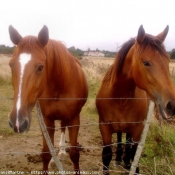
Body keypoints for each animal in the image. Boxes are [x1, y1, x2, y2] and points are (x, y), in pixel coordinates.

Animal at [8, 25, 87, 174]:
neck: (59, 87)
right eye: (11, 65)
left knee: (63, 127)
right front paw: (50, 160)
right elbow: (45, 154)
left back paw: (62, 152)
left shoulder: (75, 119)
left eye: (41, 67)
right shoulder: (46, 120)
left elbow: (75, 154)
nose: (17, 122)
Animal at [96, 25, 175, 174]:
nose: (172, 104)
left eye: (168, 61)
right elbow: (106, 155)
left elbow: (134, 154)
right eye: (146, 62)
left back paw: (126, 161)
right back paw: (119, 159)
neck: (120, 97)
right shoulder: (104, 127)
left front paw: (130, 164)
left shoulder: (138, 127)